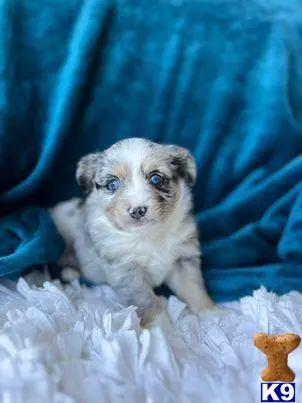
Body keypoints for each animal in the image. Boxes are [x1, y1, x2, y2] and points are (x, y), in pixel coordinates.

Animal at [49, 139, 214, 328]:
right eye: (113, 184)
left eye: (156, 178)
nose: (137, 210)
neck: (148, 235)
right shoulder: (127, 271)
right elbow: (150, 303)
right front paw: (163, 331)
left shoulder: (182, 259)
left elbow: (194, 290)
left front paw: (214, 315)